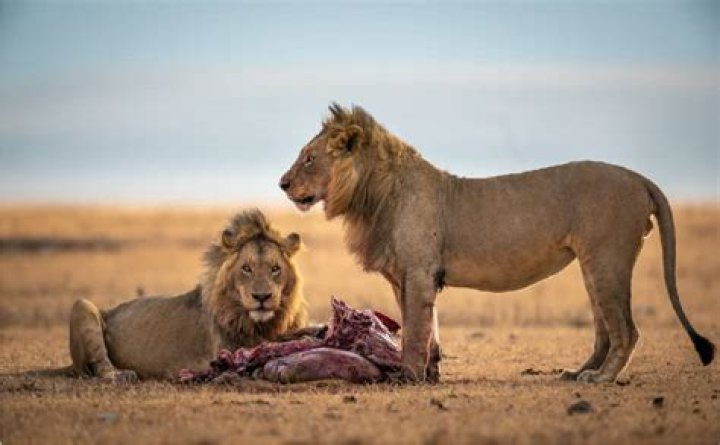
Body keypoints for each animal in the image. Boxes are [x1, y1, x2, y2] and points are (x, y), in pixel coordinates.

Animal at [68, 209, 308, 381]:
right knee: (100, 365)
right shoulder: (229, 350)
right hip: (83, 305)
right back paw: (120, 375)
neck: (264, 323)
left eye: (275, 269)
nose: (262, 297)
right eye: (246, 269)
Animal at [279, 103, 715, 383]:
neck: (371, 195)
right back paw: (578, 372)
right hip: (594, 266)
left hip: (607, 260)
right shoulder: (410, 276)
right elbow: (430, 330)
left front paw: (407, 376)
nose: (281, 184)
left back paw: (601, 378)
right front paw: (430, 375)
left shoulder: (418, 271)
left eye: (309, 158)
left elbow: (415, 332)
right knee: (605, 330)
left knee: (626, 329)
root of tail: (639, 177)